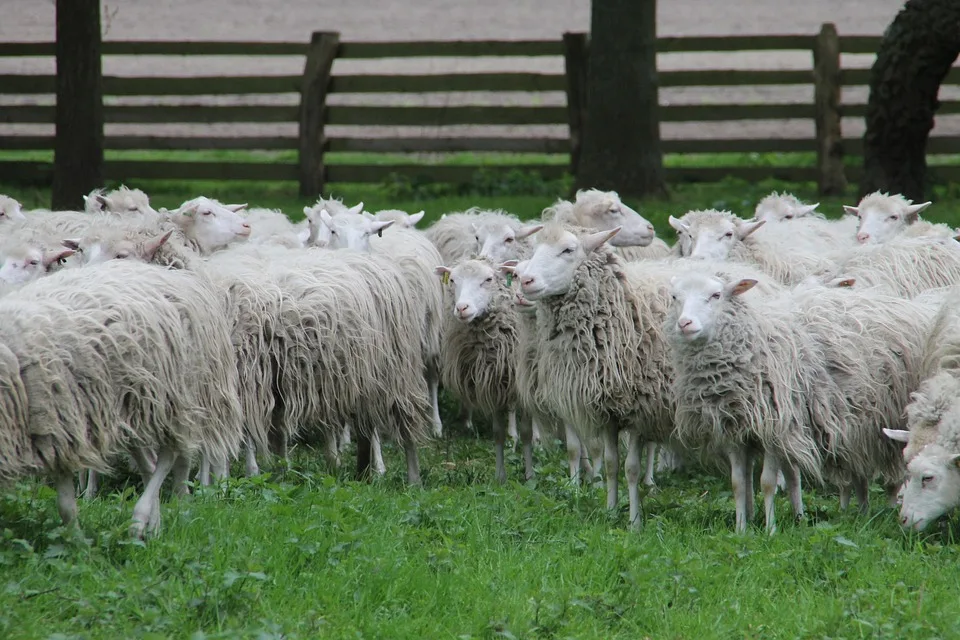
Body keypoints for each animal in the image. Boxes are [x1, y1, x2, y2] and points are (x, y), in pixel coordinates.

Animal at [0, 258, 244, 536]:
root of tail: (178, 276)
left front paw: (78, 541)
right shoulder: (57, 429)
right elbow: (65, 506)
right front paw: (76, 539)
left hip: (175, 397)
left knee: (168, 456)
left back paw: (139, 520)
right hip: (134, 404)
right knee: (149, 464)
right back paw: (153, 526)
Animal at [436, 258, 540, 482]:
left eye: (488, 279)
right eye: (453, 280)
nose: (462, 308)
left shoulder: (520, 387)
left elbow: (526, 432)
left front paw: (529, 476)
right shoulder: (492, 384)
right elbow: (497, 432)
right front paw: (500, 476)